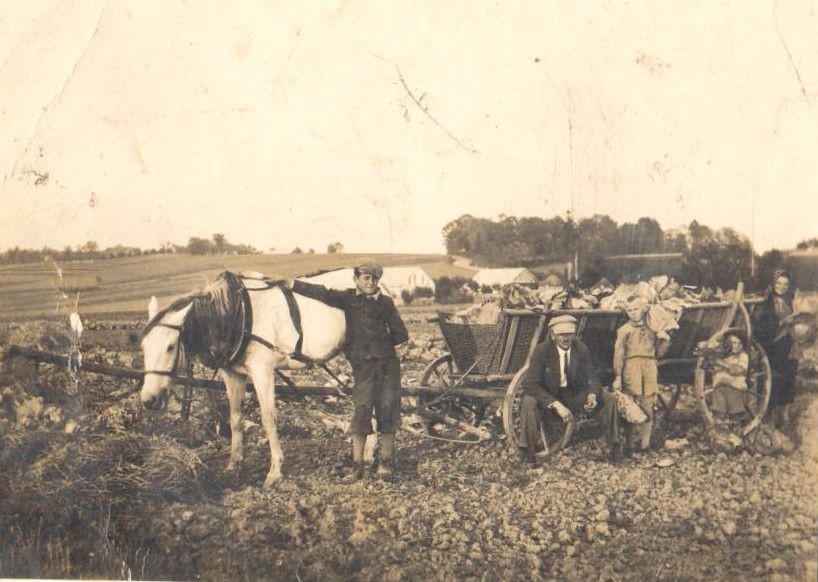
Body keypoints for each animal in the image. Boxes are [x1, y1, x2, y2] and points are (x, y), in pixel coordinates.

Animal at [139, 274, 342, 488]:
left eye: (170, 347)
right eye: (143, 346)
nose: (149, 399)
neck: (239, 314)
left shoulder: (262, 371)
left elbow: (268, 418)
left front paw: (275, 471)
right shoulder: (232, 374)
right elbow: (235, 418)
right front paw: (233, 464)